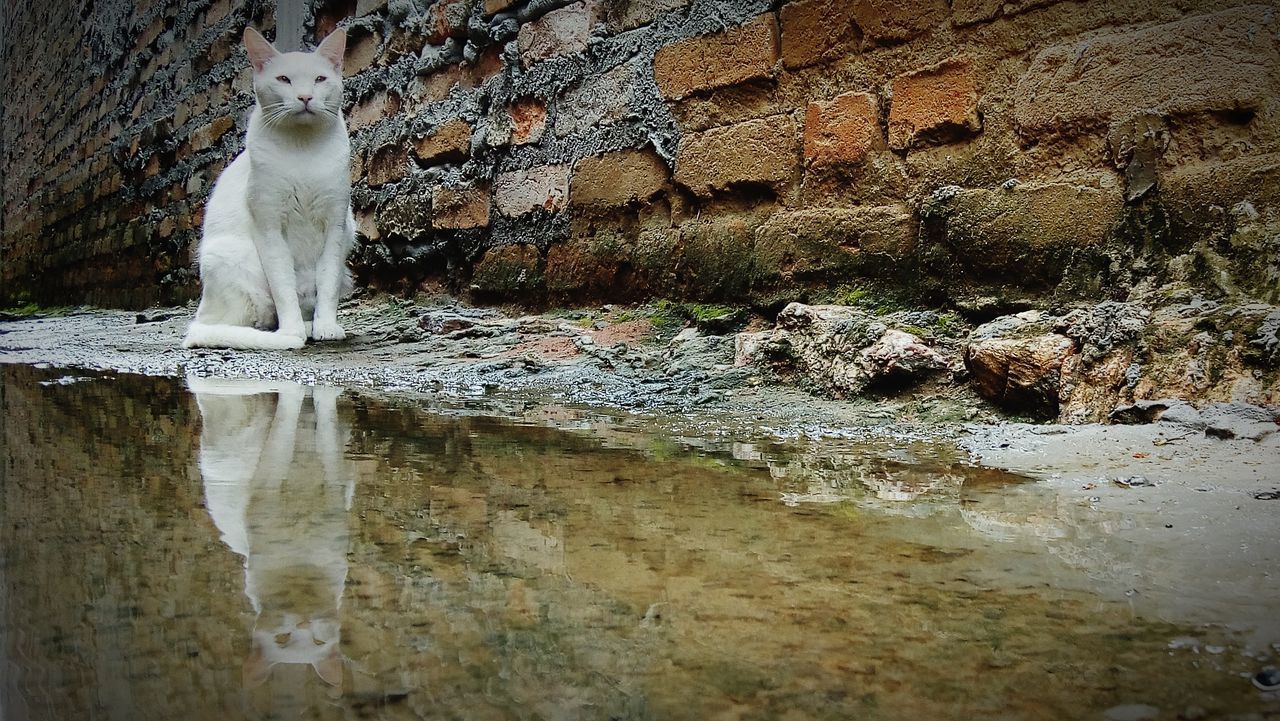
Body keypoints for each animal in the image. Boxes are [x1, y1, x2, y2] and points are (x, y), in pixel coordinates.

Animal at [183, 29, 353, 350]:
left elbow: (328, 284)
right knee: (252, 323)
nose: (305, 96)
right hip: (233, 260)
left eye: (320, 79)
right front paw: (292, 332)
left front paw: (326, 326)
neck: (303, 148)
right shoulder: (270, 227)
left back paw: (312, 325)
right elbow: (283, 287)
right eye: (284, 79)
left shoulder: (336, 226)